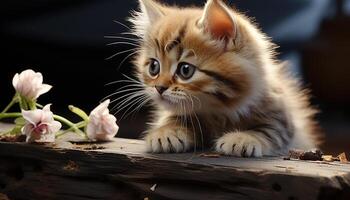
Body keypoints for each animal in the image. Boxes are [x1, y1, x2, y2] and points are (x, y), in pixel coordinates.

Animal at [128, 0, 320, 156]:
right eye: (154, 67)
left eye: (185, 70)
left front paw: (243, 138)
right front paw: (167, 131)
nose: (159, 88)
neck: (219, 112)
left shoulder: (282, 118)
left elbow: (270, 130)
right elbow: (172, 117)